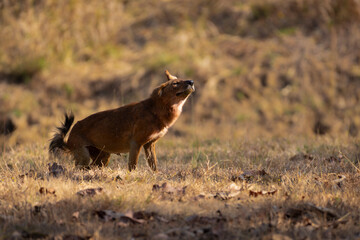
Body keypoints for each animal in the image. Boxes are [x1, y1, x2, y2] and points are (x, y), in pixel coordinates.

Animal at [49, 71, 195, 171]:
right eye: (175, 83)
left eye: (182, 80)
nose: (191, 81)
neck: (156, 111)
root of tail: (71, 134)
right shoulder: (136, 143)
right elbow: (132, 166)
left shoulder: (150, 144)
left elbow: (154, 166)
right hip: (84, 157)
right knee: (81, 168)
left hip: (103, 158)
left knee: (91, 167)